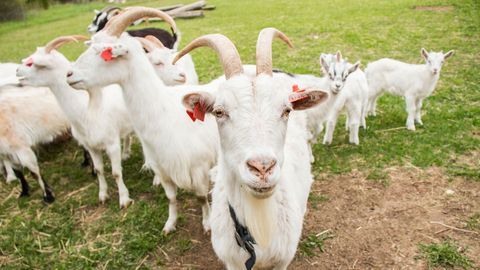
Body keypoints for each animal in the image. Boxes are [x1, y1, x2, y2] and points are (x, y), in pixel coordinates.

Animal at [17, 37, 133, 208]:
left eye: (32, 64)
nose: (17, 70)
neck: (86, 108)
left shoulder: (111, 143)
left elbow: (116, 172)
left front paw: (124, 199)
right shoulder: (91, 145)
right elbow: (99, 170)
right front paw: (102, 196)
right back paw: (126, 154)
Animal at [65, 7, 218, 232]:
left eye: (105, 52)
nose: (69, 74)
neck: (164, 112)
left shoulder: (199, 168)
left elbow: (200, 198)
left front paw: (207, 223)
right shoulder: (163, 169)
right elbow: (171, 198)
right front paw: (170, 224)